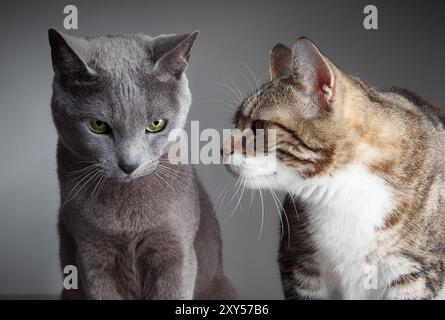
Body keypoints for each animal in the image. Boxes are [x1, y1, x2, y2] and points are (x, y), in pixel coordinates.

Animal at [47, 28, 236, 300]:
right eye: (97, 125)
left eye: (156, 124)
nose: (129, 164)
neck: (128, 221)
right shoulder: (92, 258)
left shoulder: (176, 254)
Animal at [222, 37, 444, 300]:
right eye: (235, 123)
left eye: (259, 126)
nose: (221, 149)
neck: (342, 191)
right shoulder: (300, 264)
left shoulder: (414, 272)